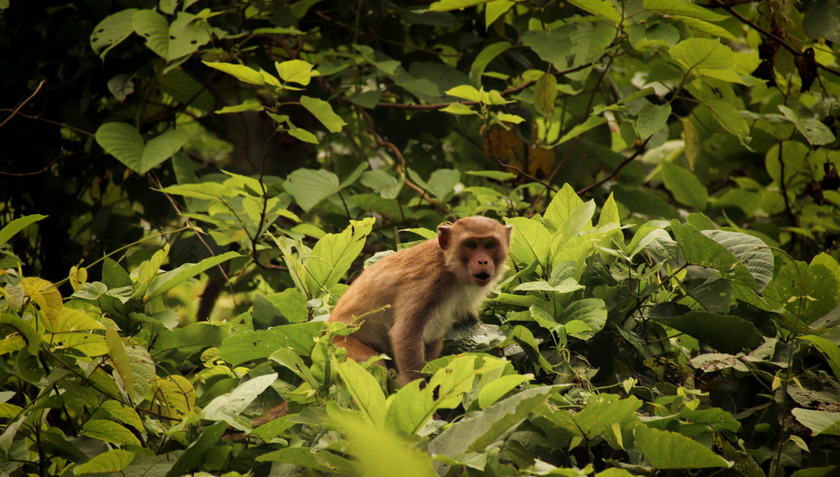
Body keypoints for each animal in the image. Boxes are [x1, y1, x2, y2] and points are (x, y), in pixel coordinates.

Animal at [328, 218, 512, 384]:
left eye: (490, 245)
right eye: (471, 245)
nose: (483, 261)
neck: (449, 266)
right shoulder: (427, 282)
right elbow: (404, 337)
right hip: (341, 346)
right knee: (375, 363)